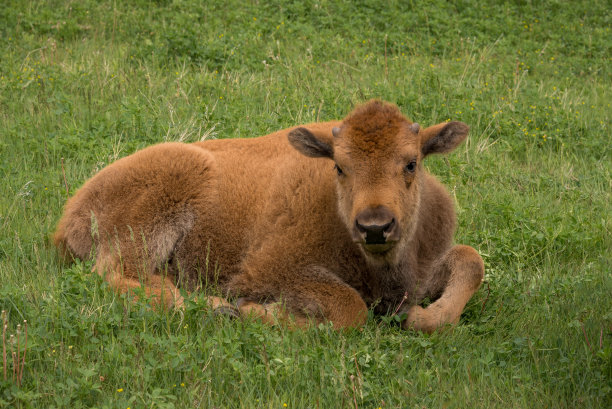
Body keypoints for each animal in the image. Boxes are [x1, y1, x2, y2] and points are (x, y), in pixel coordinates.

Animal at [53, 99, 482, 332]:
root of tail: (74, 208)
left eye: (411, 163)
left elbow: (471, 262)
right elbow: (350, 309)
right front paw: (253, 311)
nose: (375, 226)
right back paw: (214, 309)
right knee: (114, 274)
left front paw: (421, 317)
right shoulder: (271, 271)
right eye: (339, 167)